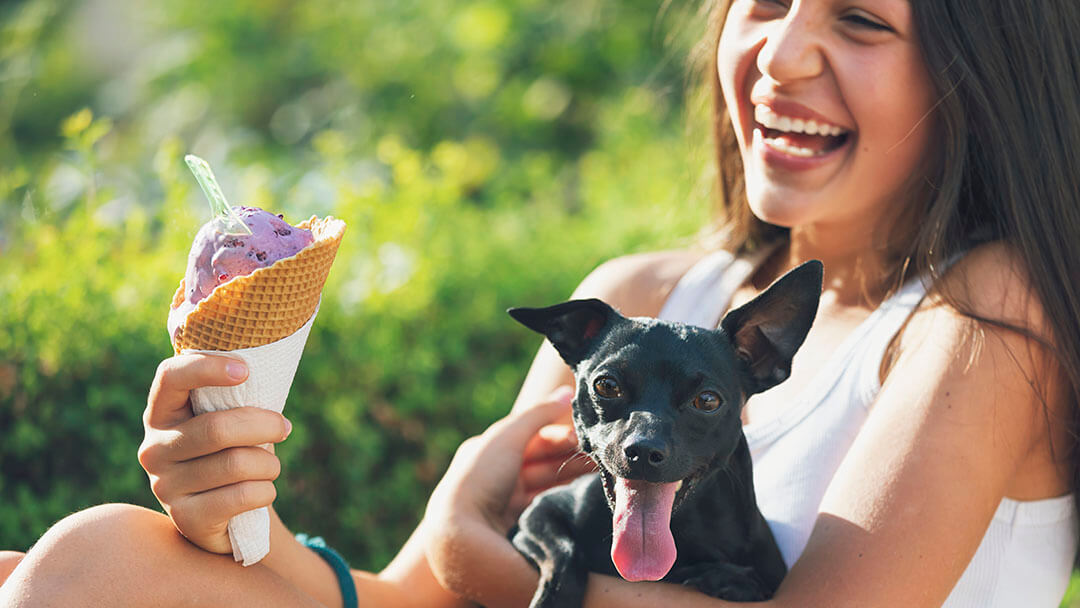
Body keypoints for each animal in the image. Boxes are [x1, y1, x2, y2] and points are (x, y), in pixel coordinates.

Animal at [509, 259, 820, 604]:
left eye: (707, 400)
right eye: (607, 386)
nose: (643, 450)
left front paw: (727, 578)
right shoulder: (535, 516)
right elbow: (564, 553)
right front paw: (553, 599)